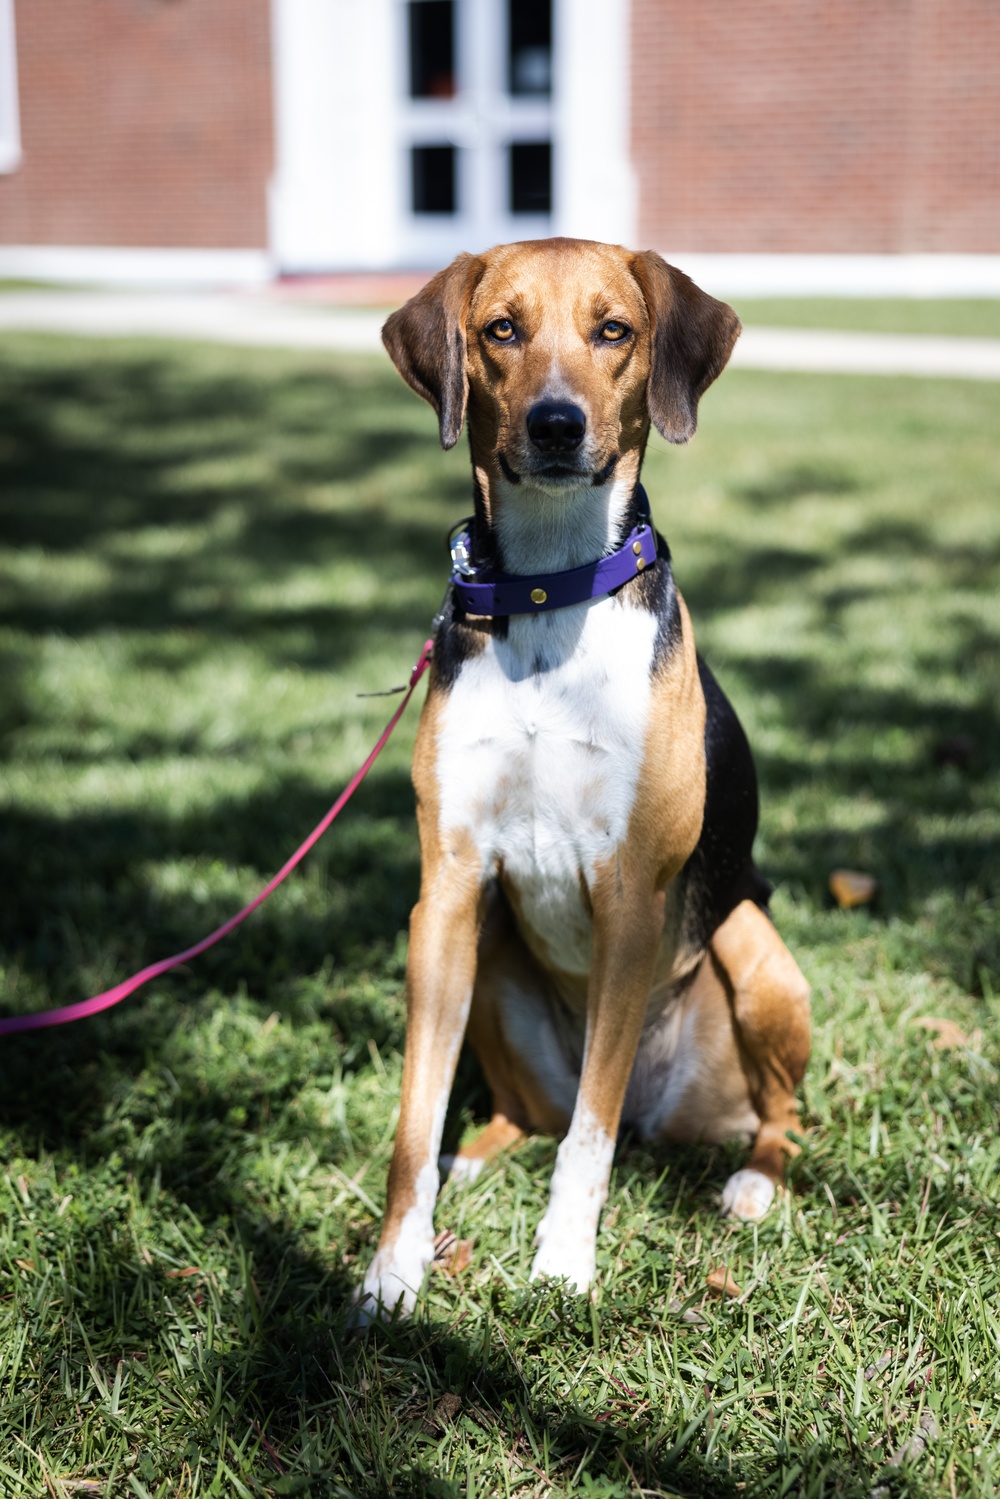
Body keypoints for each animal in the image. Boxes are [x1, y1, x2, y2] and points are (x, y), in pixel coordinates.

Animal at [355, 236, 809, 1325]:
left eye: (614, 330)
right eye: (500, 329)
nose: (556, 425)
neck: (547, 591)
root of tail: (669, 1120)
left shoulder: (632, 895)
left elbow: (589, 1134)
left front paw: (562, 1263)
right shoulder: (446, 890)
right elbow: (412, 1123)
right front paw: (393, 1270)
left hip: (753, 942)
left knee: (765, 1114)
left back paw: (752, 1180)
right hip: (487, 966)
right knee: (529, 1112)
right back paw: (476, 1157)